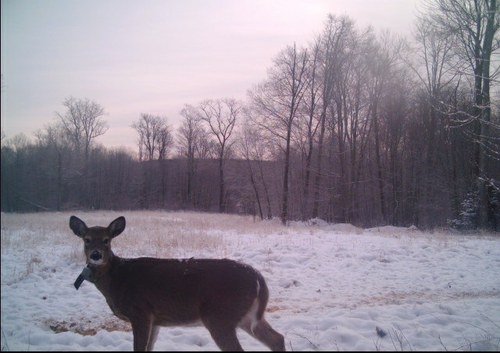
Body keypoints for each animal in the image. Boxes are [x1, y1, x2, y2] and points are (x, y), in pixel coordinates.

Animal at [68, 214, 286, 350]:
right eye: (86, 239)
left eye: (107, 240)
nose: (96, 255)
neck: (117, 279)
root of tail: (258, 278)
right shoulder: (155, 319)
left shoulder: (140, 311)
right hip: (246, 316)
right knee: (277, 338)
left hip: (219, 316)